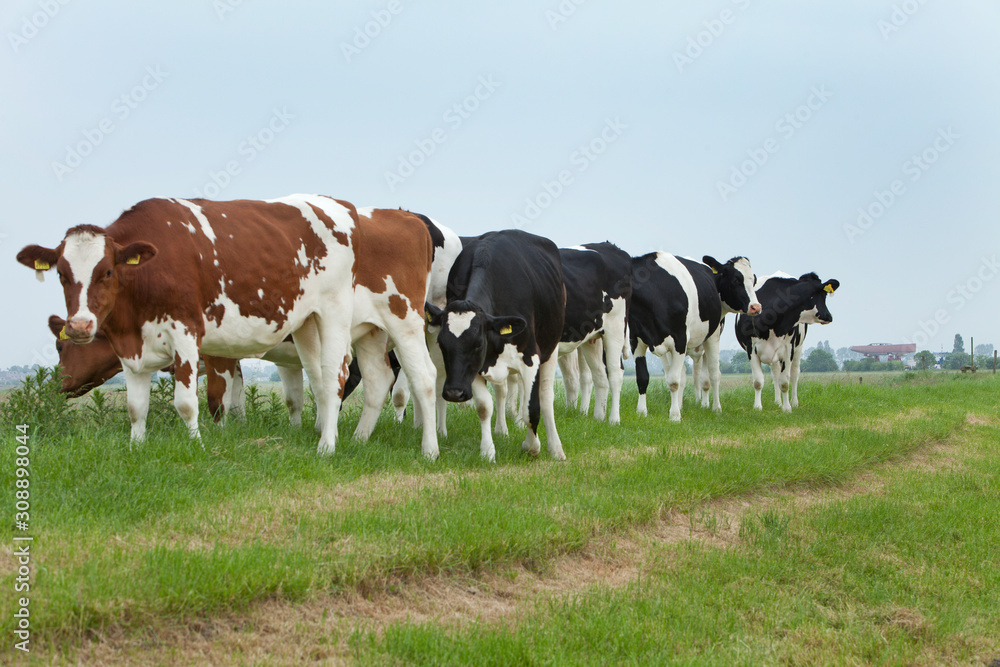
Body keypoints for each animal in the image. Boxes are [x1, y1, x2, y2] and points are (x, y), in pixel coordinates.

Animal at [17, 193, 440, 460]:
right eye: (62, 274)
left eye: (106, 271)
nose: (80, 325)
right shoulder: (132, 349)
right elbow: (137, 408)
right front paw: (137, 448)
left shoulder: (192, 337)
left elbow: (196, 402)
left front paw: (199, 445)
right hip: (339, 328)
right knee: (360, 381)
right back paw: (355, 439)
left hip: (378, 317)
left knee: (400, 377)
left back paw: (411, 449)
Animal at [424, 230, 572, 464]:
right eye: (442, 343)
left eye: (478, 344)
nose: (454, 393)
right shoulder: (475, 369)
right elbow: (484, 407)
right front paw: (487, 451)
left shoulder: (531, 357)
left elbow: (532, 409)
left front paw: (531, 447)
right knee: (502, 392)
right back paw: (501, 430)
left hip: (552, 346)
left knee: (546, 397)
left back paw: (555, 448)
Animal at [552, 244, 628, 422]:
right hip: (591, 339)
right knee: (599, 374)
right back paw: (598, 417)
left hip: (615, 330)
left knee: (615, 373)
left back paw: (614, 419)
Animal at [628, 258, 760, 422]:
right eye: (736, 280)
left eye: (753, 280)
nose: (756, 307)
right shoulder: (636, 342)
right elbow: (643, 377)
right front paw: (642, 412)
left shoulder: (680, 341)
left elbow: (675, 380)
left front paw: (675, 415)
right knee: (687, 374)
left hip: (711, 337)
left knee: (712, 374)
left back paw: (714, 407)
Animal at [732, 272, 840, 412]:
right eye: (822, 295)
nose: (829, 316)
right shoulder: (751, 348)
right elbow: (758, 381)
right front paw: (757, 407)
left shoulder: (789, 349)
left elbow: (784, 382)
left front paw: (787, 408)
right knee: (775, 374)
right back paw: (778, 402)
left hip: (798, 348)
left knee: (794, 374)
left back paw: (794, 402)